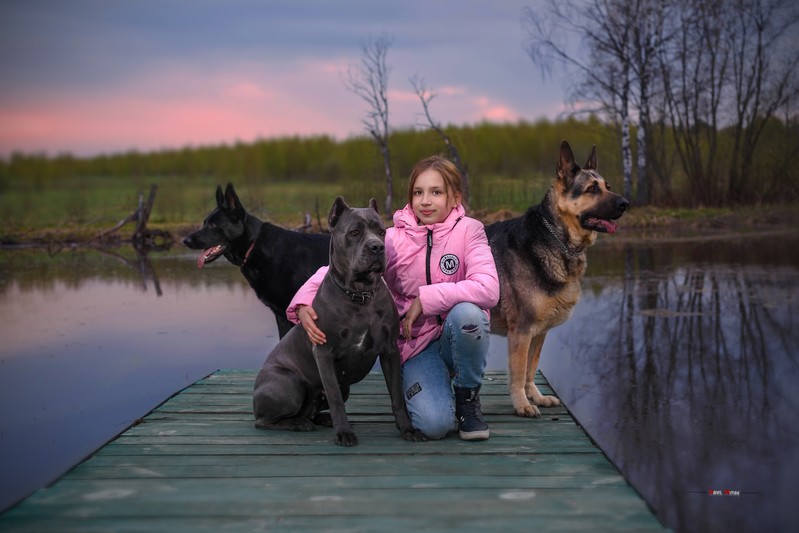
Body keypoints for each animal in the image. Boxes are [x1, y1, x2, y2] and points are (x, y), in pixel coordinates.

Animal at [253, 195, 428, 444]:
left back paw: (319, 419)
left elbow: (397, 395)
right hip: (289, 384)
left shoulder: (390, 350)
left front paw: (408, 429)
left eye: (381, 231)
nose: (377, 247)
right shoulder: (324, 353)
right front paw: (344, 432)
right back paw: (299, 424)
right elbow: (335, 397)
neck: (360, 295)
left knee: (311, 410)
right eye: (354, 232)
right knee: (264, 421)